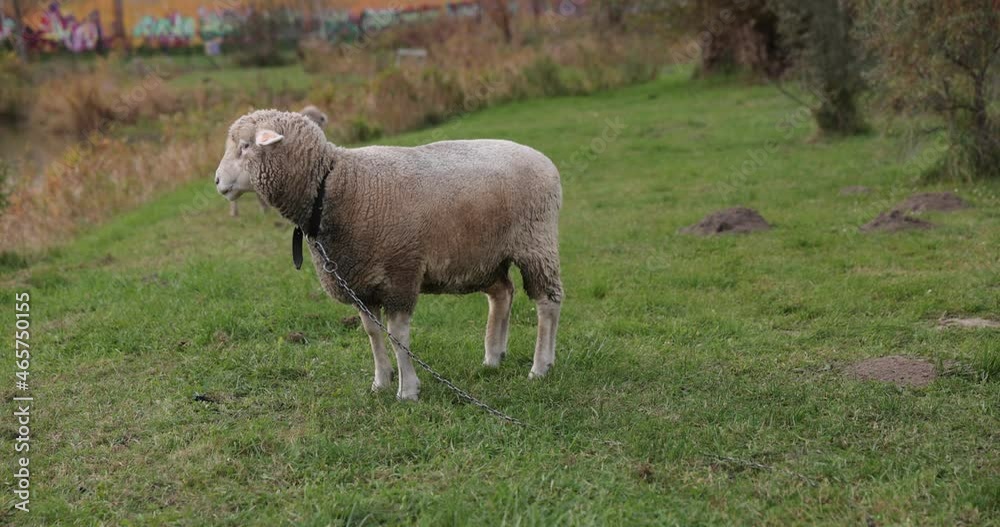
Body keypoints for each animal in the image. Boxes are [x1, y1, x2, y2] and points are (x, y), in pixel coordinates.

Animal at [214, 109, 563, 401]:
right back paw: (493, 356)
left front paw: (408, 390)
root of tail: (544, 160)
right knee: (502, 293)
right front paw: (380, 381)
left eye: (245, 146)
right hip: (485, 254)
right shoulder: (360, 280)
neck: (334, 184)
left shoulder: (401, 272)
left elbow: (397, 335)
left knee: (547, 302)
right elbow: (372, 332)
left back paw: (540, 367)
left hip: (536, 242)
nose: (217, 181)